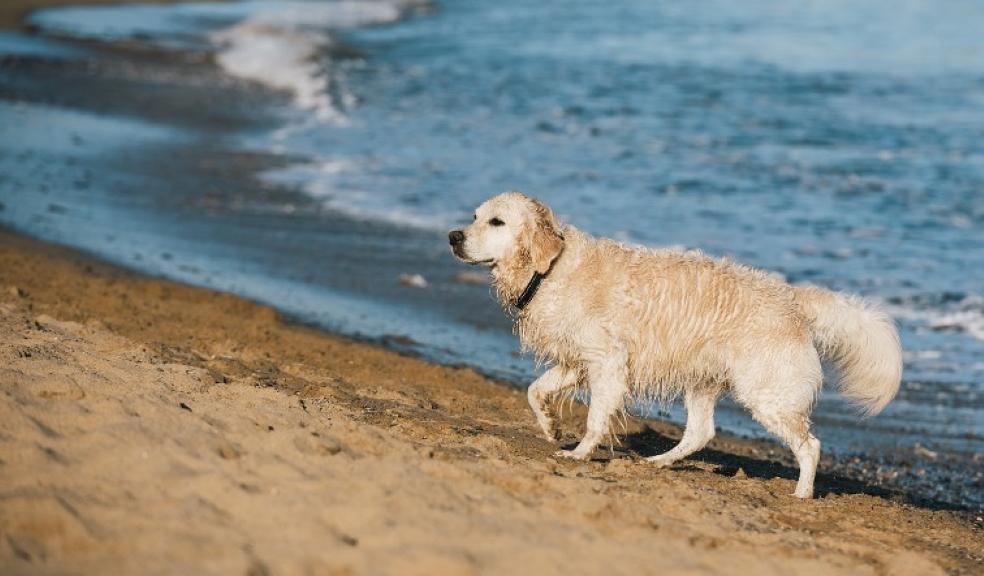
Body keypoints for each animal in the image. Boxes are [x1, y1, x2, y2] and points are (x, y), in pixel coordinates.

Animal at [450, 191, 904, 498]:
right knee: (701, 433)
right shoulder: (579, 360)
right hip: (702, 380)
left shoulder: (607, 362)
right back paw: (659, 462)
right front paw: (550, 426)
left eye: (497, 222)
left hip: (767, 392)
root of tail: (792, 299)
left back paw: (802, 494)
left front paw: (579, 454)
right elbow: (534, 390)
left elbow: (595, 418)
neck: (550, 268)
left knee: (810, 445)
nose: (453, 236)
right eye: (475, 217)